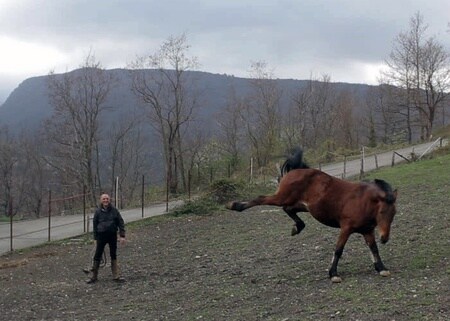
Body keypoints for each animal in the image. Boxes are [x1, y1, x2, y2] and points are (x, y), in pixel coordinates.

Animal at [229, 151, 398, 282]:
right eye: (382, 212)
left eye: (394, 213)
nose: (385, 238)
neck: (363, 201)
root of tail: (296, 170)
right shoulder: (346, 228)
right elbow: (339, 249)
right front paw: (333, 274)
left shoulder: (367, 231)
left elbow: (374, 248)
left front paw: (381, 268)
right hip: (282, 197)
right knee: (262, 199)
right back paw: (235, 205)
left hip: (302, 205)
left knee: (288, 209)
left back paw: (297, 227)